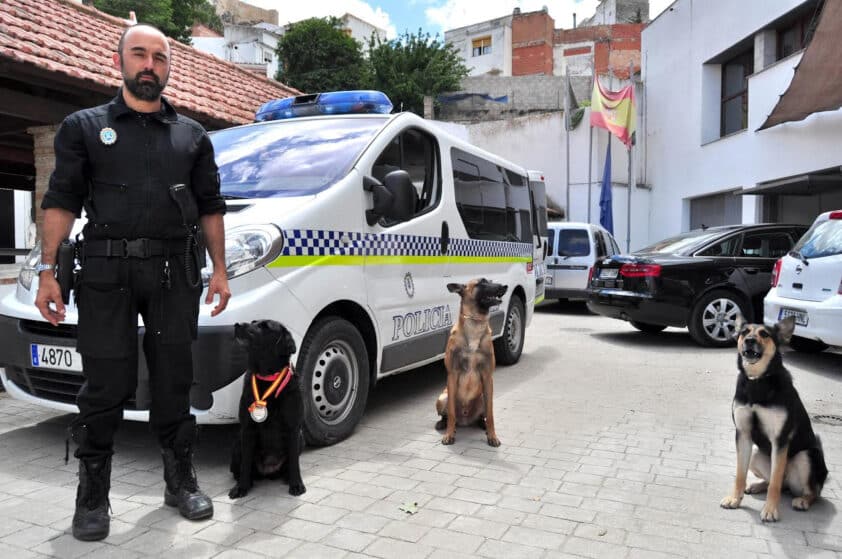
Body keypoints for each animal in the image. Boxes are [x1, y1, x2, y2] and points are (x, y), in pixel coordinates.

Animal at [228, 320, 306, 498]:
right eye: (253, 322)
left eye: (265, 327)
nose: (237, 325)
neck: (267, 377)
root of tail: (269, 471)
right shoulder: (247, 429)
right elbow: (246, 463)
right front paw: (241, 487)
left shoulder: (293, 428)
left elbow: (294, 462)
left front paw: (296, 484)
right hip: (237, 443)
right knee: (240, 469)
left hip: (300, 438)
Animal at [434, 278, 506, 448]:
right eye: (482, 282)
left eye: (490, 280)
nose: (504, 286)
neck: (475, 325)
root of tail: (465, 420)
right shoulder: (452, 374)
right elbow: (451, 412)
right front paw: (449, 435)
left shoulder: (488, 377)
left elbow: (491, 414)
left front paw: (492, 436)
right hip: (442, 397)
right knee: (448, 416)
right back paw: (443, 424)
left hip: (482, 398)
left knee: (483, 415)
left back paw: (482, 425)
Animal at [716, 318, 828, 524]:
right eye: (744, 332)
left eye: (764, 334)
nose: (749, 341)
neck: (757, 380)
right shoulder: (743, 435)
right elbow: (740, 474)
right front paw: (735, 498)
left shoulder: (780, 440)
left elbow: (775, 483)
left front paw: (770, 510)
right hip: (755, 454)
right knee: (778, 482)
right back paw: (756, 486)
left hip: (806, 456)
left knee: (811, 491)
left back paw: (803, 500)